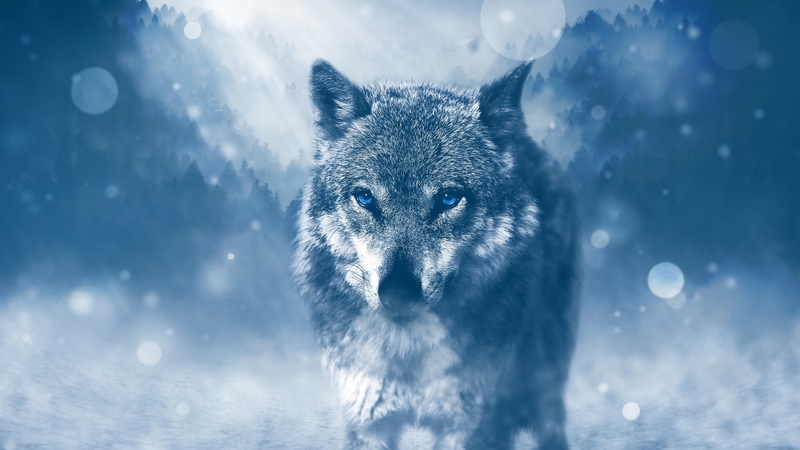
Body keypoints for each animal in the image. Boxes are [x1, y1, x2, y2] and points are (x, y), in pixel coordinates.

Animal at [293, 59, 581, 449]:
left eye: (448, 198)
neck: (409, 353)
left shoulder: (472, 424)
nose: (398, 292)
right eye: (365, 197)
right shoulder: (367, 420)